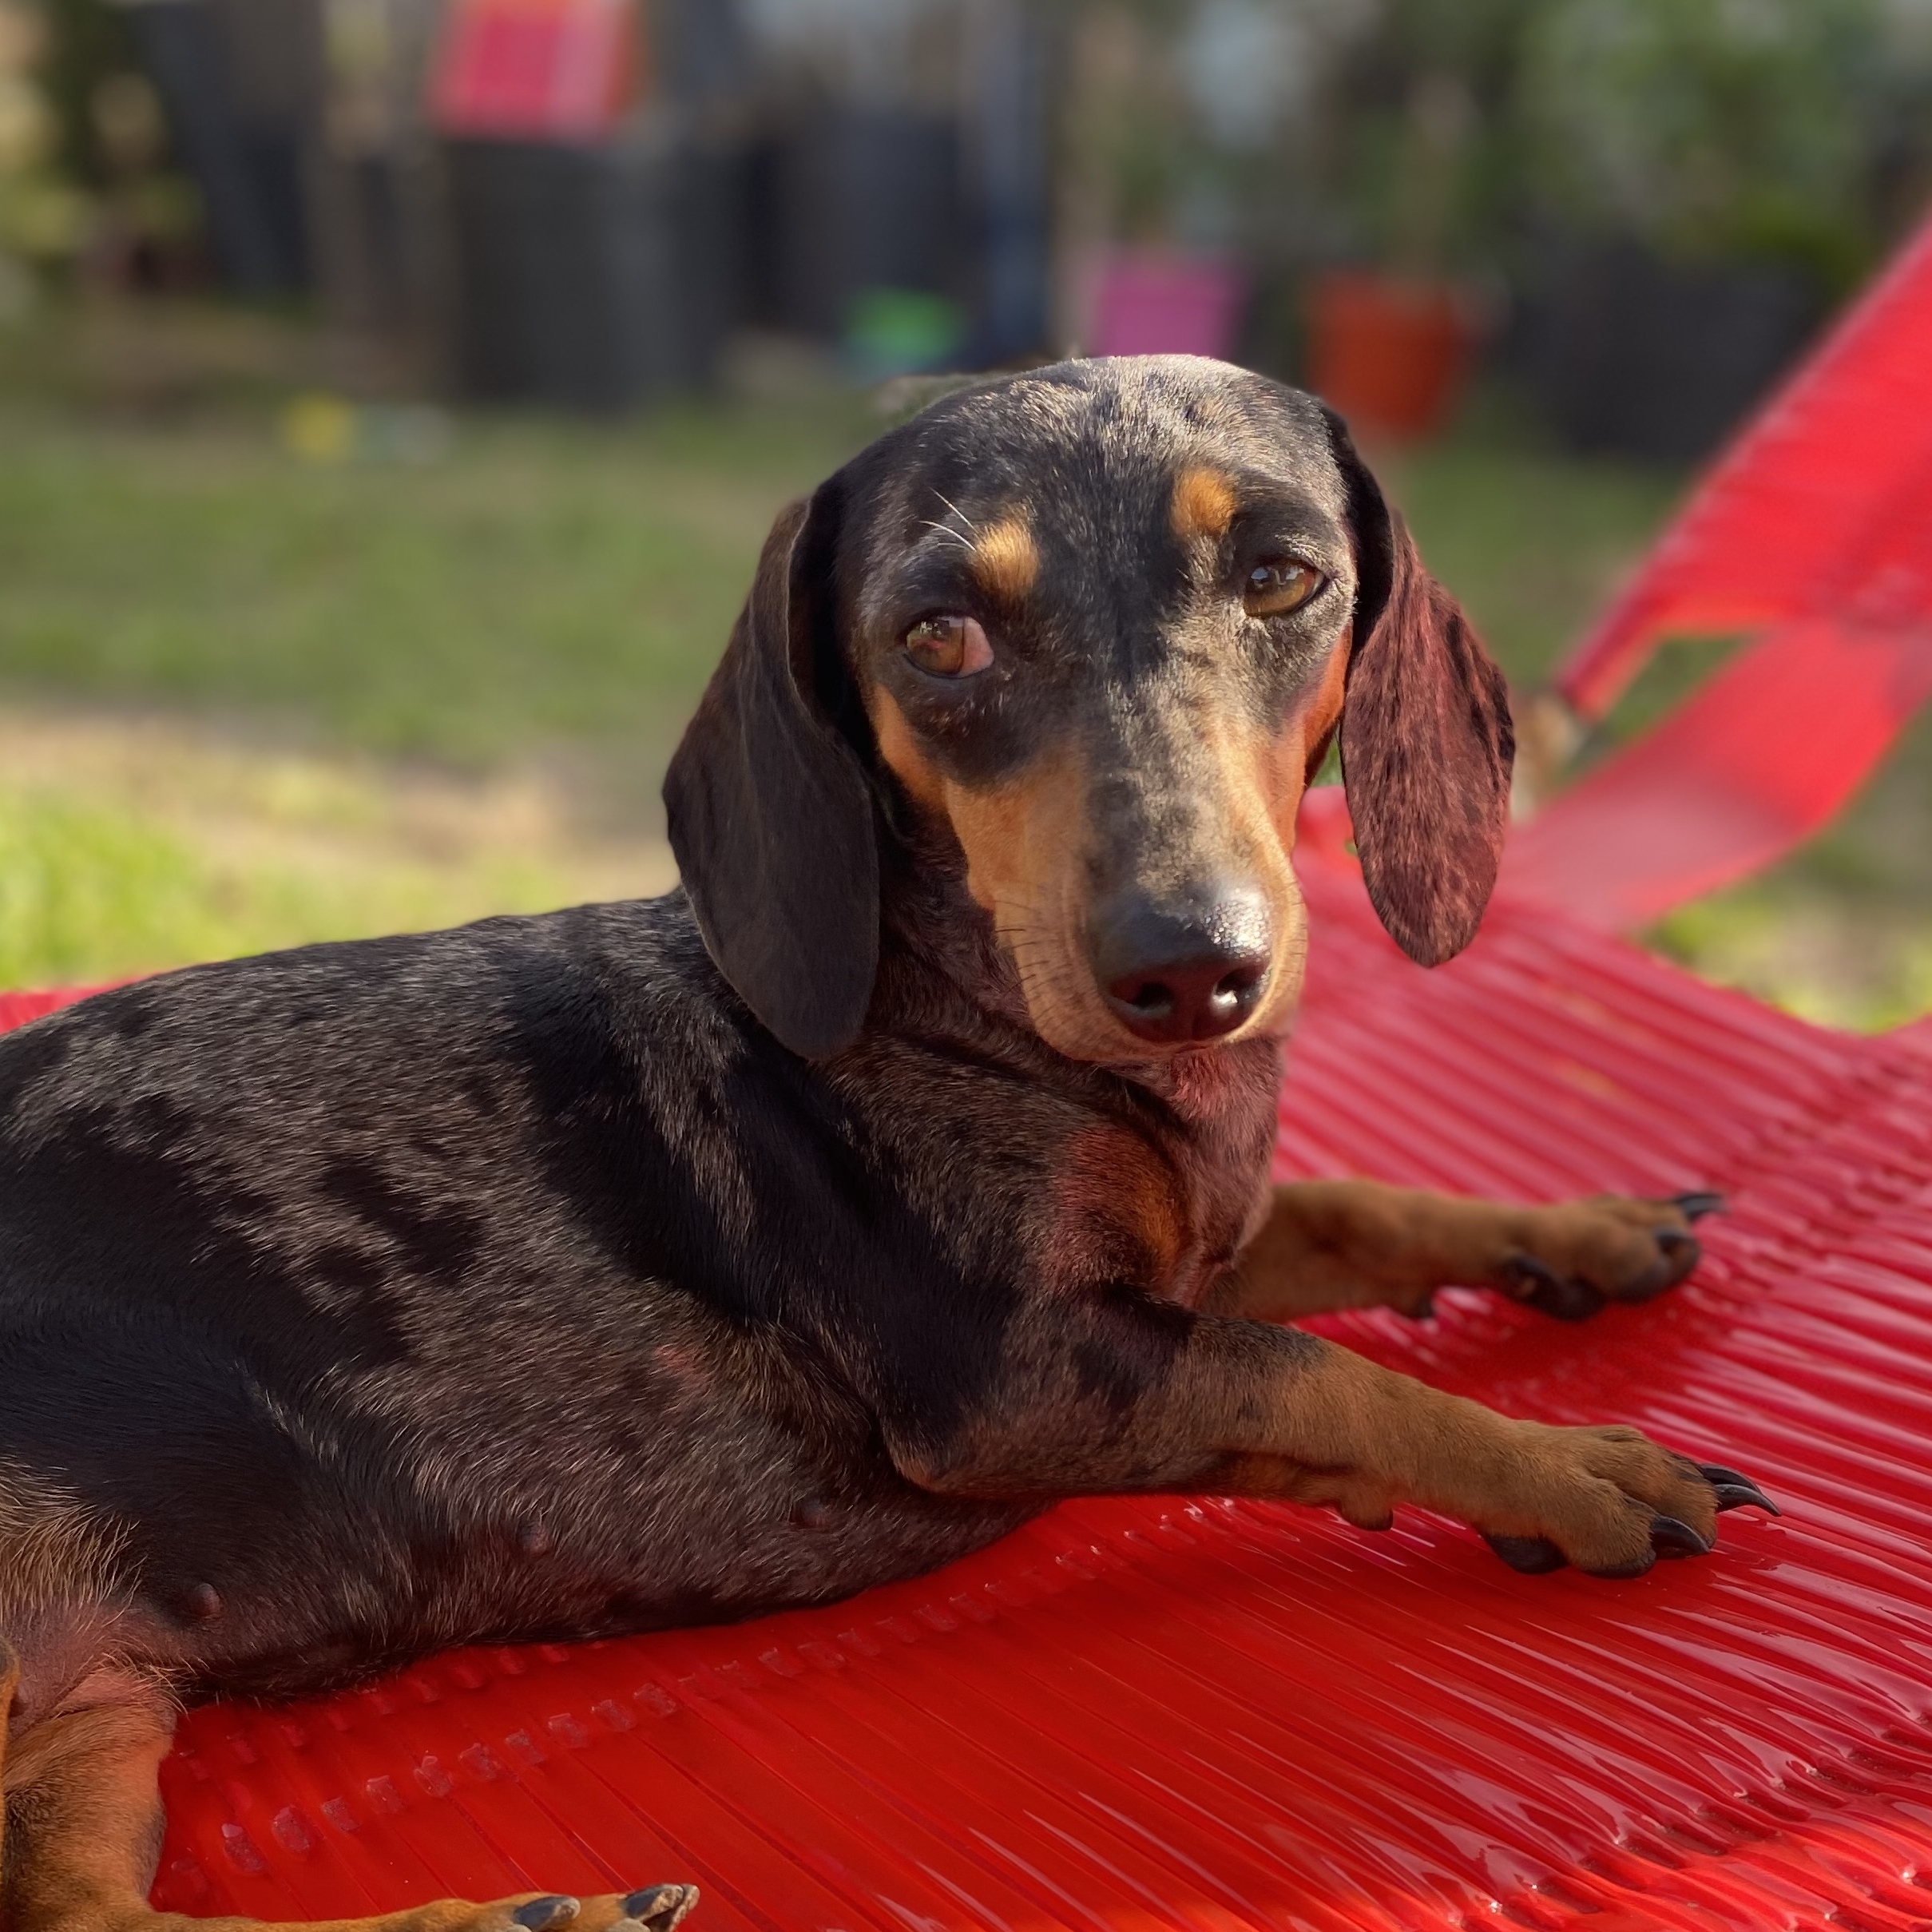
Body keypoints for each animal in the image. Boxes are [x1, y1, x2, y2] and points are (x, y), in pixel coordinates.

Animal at [0, 359, 1769, 1932]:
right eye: (939, 635)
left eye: (1283, 575)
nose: (1190, 965)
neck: (964, 1000)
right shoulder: (1016, 1375)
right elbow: (1318, 1373)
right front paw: (1566, 1465)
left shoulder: (1189, 1249)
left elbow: (1361, 1208)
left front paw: (1583, 1229)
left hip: (97, 1710)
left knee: (82, 1912)